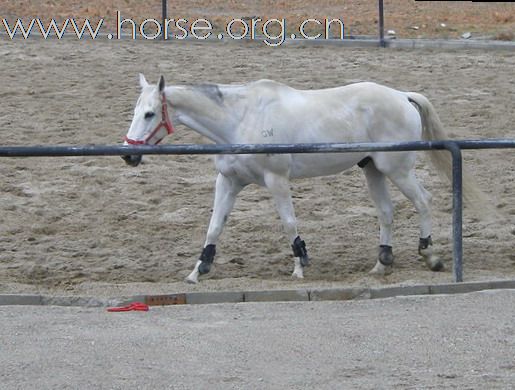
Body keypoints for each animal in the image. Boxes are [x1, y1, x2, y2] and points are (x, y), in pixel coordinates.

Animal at [123, 74, 482, 284]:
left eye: (150, 113)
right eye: (136, 111)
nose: (128, 154)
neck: (241, 120)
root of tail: (401, 95)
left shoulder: (277, 180)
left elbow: (289, 223)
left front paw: (299, 265)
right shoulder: (228, 181)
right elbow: (214, 227)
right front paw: (198, 271)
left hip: (398, 170)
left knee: (423, 201)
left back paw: (430, 255)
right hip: (373, 170)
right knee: (386, 212)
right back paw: (382, 263)